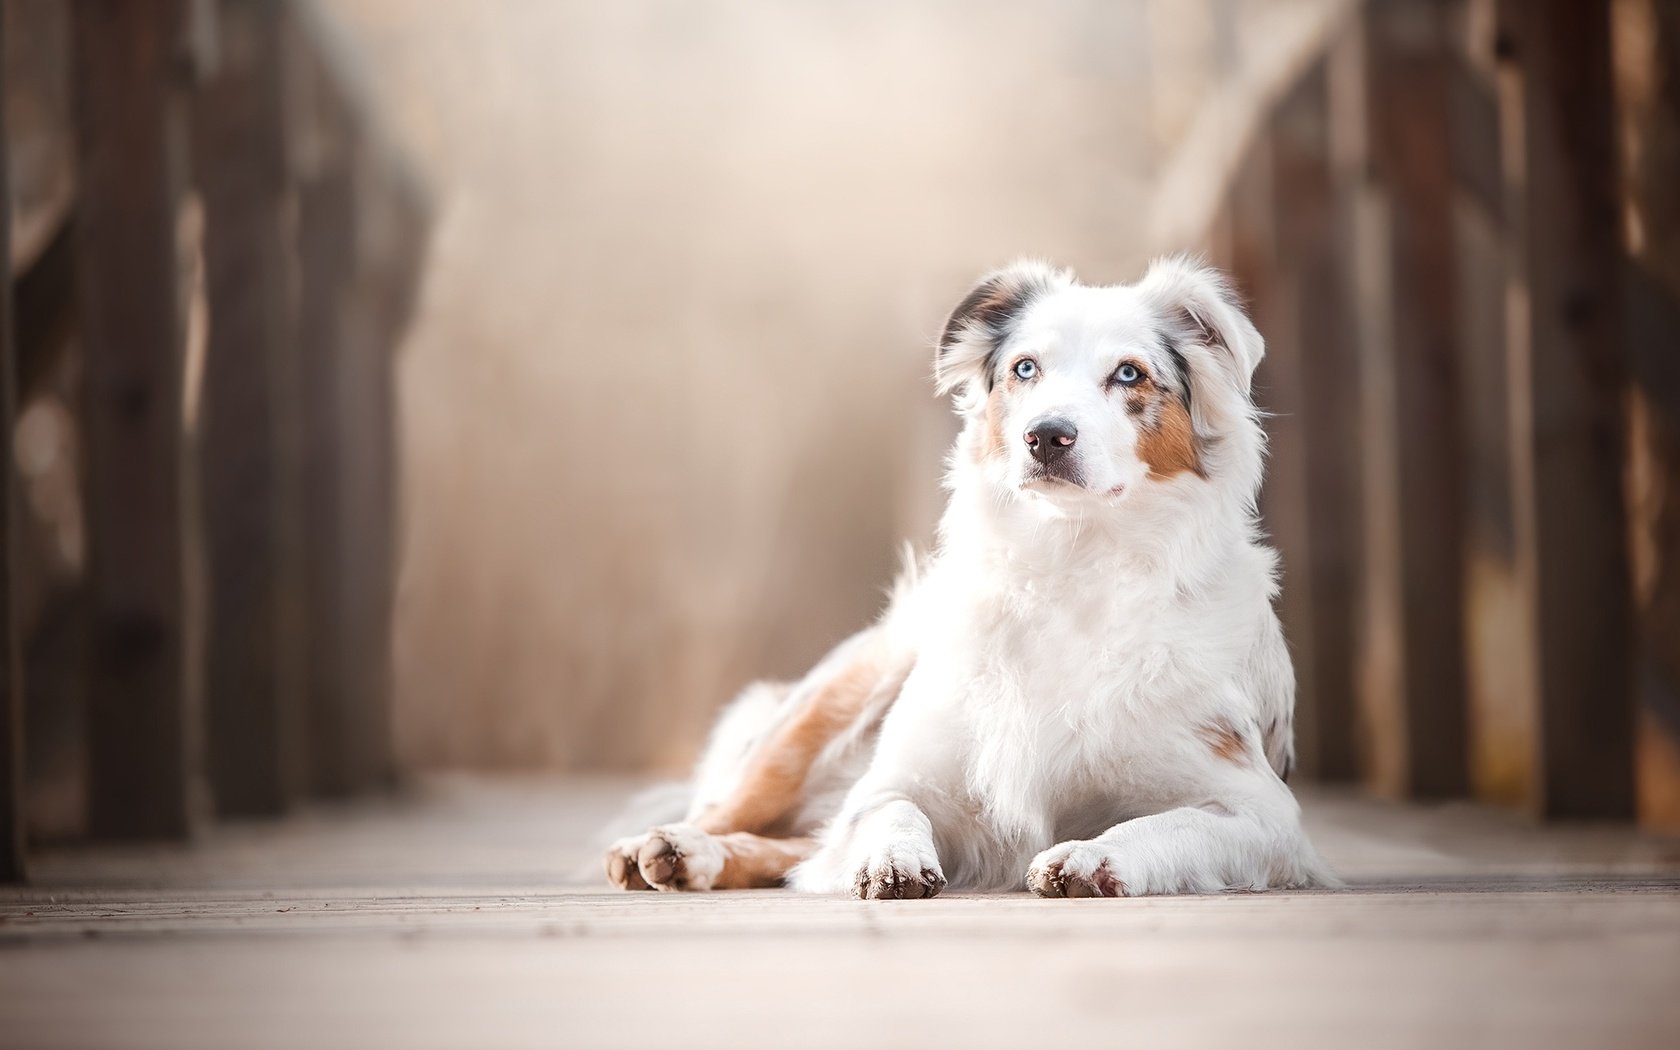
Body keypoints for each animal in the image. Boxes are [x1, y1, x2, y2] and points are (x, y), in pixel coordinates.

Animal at [604, 258, 1337, 893]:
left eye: (1129, 373)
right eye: (1025, 368)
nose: (1046, 435)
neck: (1070, 564)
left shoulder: (1261, 811)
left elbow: (1168, 824)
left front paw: (1093, 856)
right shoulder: (897, 776)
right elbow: (888, 808)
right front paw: (892, 860)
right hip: (821, 709)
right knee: (732, 810)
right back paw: (671, 846)